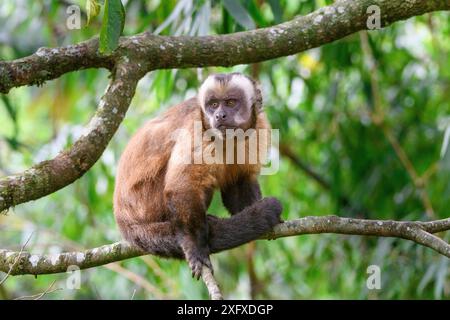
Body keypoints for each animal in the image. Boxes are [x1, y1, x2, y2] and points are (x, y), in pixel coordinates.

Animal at [112, 72, 282, 278]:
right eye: (213, 105)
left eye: (231, 102)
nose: (219, 115)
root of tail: (123, 221)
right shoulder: (198, 129)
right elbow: (182, 186)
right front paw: (195, 247)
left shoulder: (260, 127)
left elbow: (238, 182)